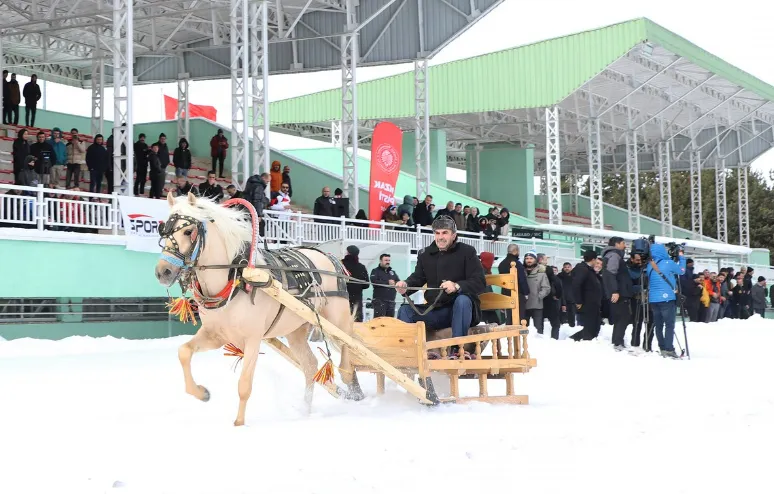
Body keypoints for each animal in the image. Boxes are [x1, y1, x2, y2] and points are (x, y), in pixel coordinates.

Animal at [156, 191, 368, 426]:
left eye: (188, 231)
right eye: (163, 230)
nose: (163, 272)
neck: (235, 277)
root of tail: (329, 257)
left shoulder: (253, 339)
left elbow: (244, 385)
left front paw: (239, 424)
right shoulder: (215, 335)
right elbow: (184, 352)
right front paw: (202, 393)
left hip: (336, 316)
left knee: (348, 340)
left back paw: (351, 384)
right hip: (296, 329)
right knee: (310, 365)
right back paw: (305, 411)